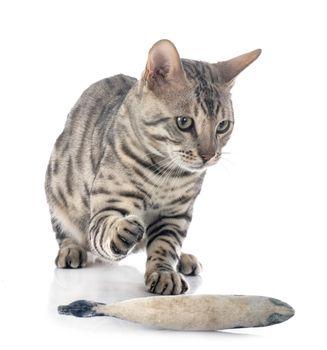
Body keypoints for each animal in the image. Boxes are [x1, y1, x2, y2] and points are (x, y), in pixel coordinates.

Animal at [45, 39, 262, 296]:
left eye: (223, 126)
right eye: (184, 122)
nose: (209, 156)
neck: (167, 174)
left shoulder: (176, 214)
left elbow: (165, 245)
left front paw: (164, 273)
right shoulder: (108, 204)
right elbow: (105, 228)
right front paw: (121, 230)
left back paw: (184, 258)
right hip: (57, 190)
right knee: (66, 234)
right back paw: (71, 250)